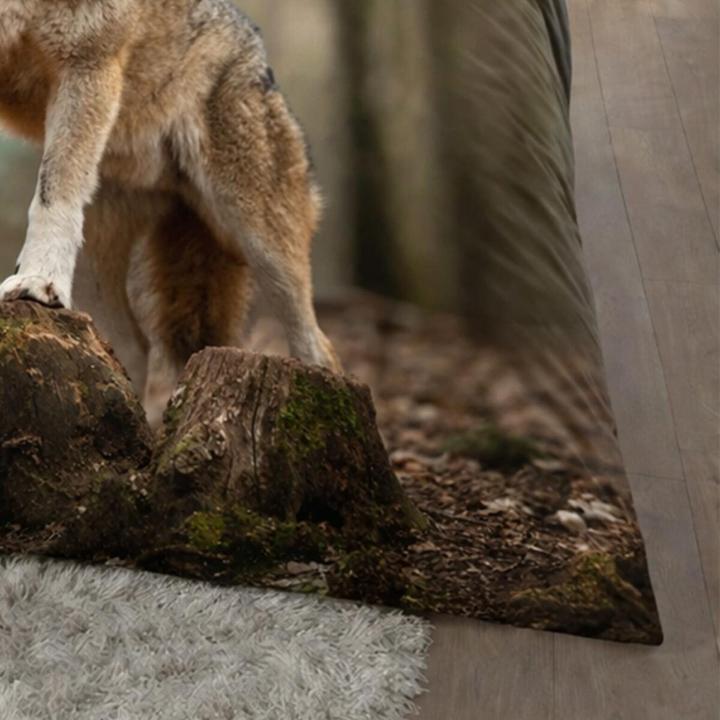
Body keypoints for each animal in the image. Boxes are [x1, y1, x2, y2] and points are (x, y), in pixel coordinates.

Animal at [0, 0, 340, 423]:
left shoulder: (87, 61)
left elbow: (54, 188)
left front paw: (36, 280)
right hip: (99, 279)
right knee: (132, 352)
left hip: (261, 246)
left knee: (319, 347)